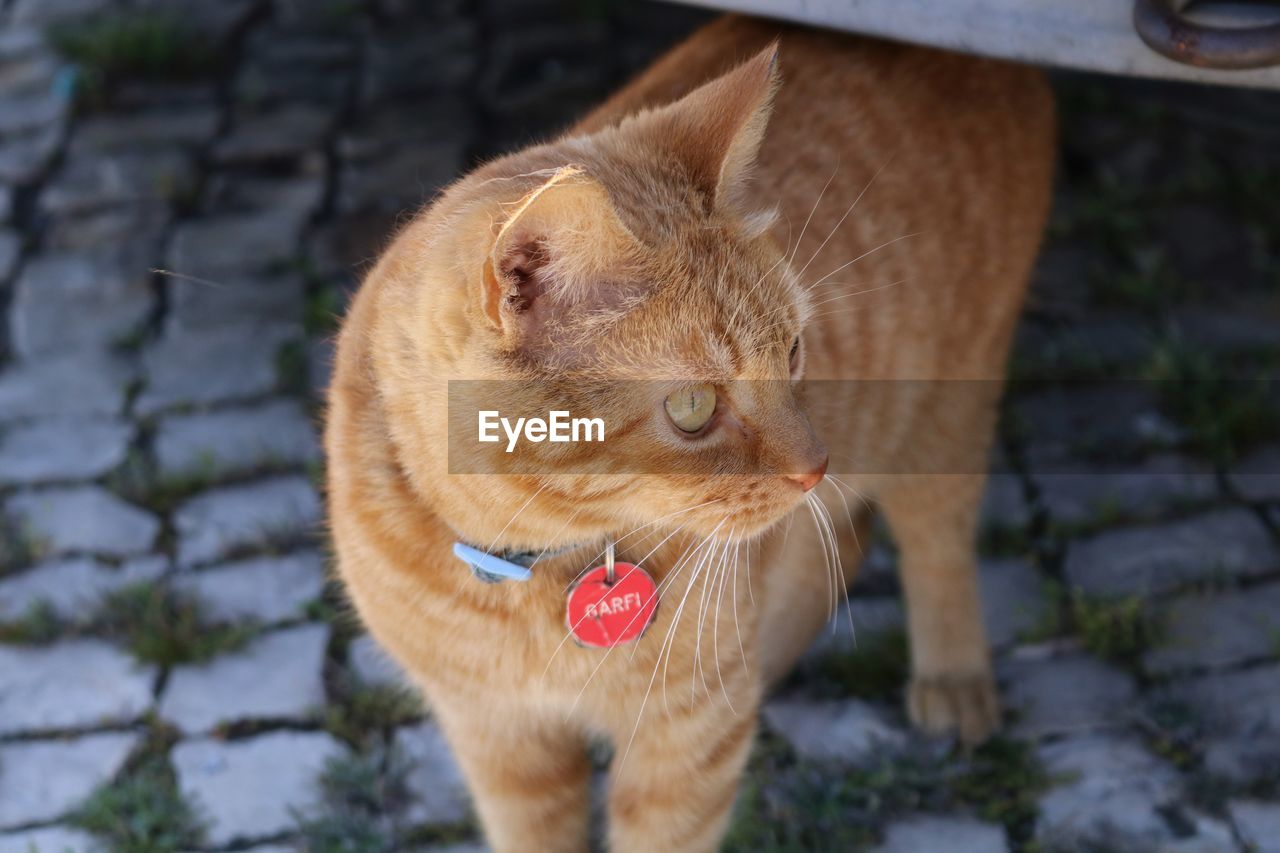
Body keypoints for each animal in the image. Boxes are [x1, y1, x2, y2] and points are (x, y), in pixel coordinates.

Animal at [325, 14, 1054, 850]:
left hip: (942, 419)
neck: (524, 567)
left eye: (793, 351)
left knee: (932, 542)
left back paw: (949, 675)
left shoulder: (684, 745)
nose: (815, 462)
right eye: (695, 408)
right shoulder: (499, 741)